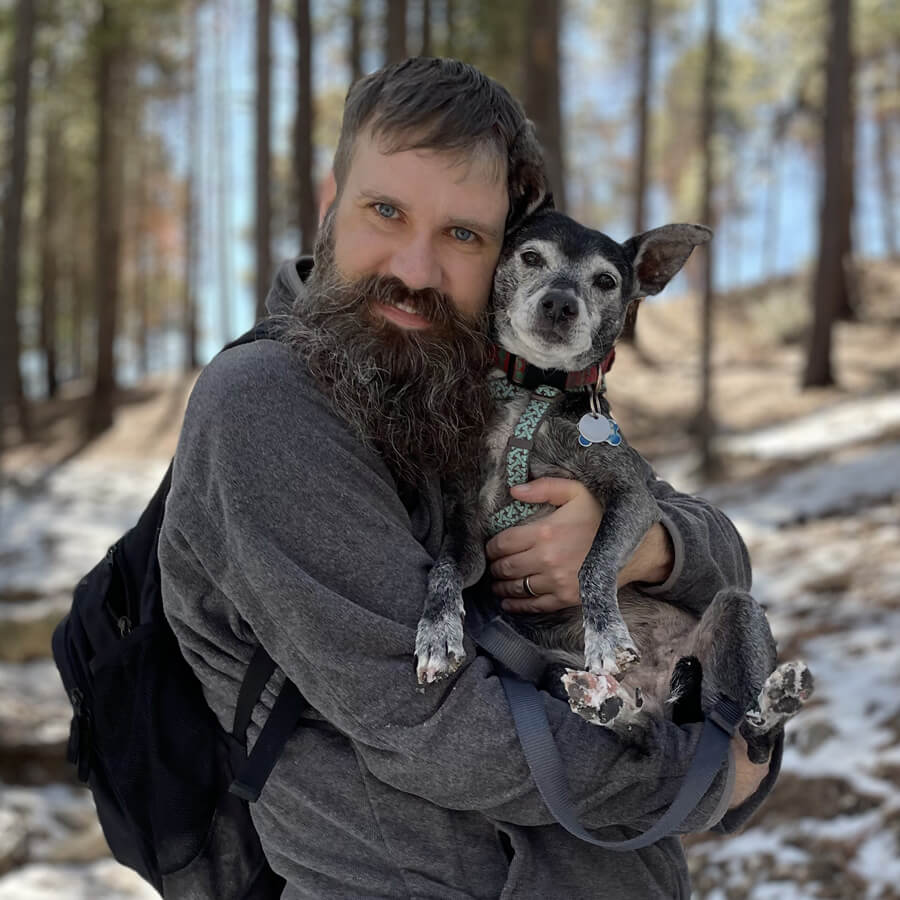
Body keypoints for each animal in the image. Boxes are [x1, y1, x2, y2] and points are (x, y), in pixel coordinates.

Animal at [418, 207, 812, 756]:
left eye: (606, 281)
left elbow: (592, 563)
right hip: (549, 670)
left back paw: (776, 698)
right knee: (638, 729)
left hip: (736, 613)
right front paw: (436, 631)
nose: (560, 302)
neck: (535, 391)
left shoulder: (633, 500)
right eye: (530, 257)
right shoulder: (468, 527)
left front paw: (605, 634)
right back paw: (610, 706)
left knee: (750, 730)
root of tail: (662, 689)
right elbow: (445, 568)